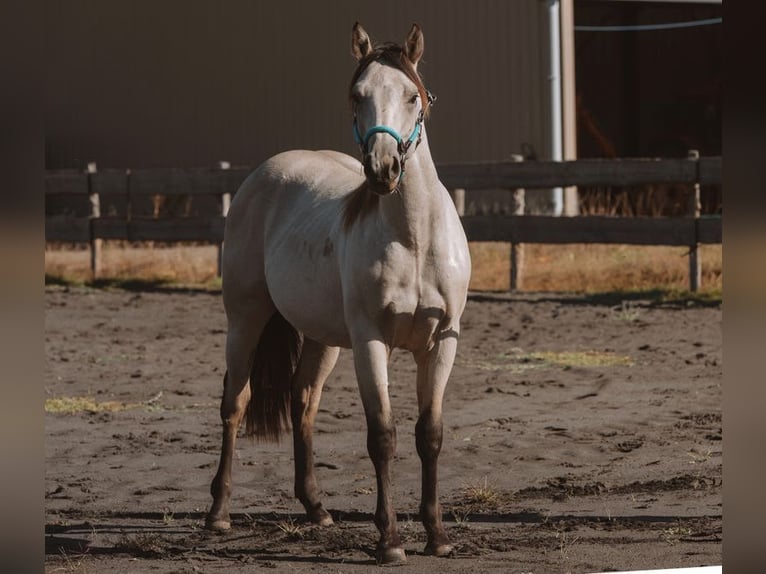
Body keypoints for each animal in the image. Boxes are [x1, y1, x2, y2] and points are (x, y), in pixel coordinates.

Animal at [205, 22, 471, 565]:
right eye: (357, 95)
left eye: (412, 96)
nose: (383, 170)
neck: (414, 240)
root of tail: (264, 175)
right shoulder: (371, 342)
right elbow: (383, 436)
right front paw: (389, 541)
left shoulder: (442, 344)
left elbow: (429, 435)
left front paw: (437, 536)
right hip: (245, 320)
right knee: (235, 401)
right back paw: (218, 513)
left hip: (322, 337)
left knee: (302, 399)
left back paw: (316, 508)